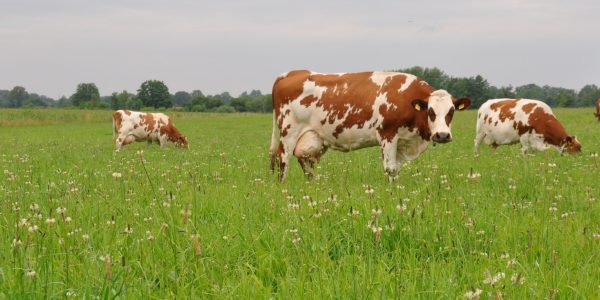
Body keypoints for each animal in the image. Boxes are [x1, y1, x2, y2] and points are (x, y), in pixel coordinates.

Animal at [270, 70, 472, 180]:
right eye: (430, 111)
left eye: (451, 111)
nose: (442, 135)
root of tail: (291, 73)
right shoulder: (387, 134)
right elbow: (390, 169)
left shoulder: (402, 141)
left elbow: (396, 169)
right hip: (288, 133)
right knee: (282, 161)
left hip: (312, 138)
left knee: (306, 163)